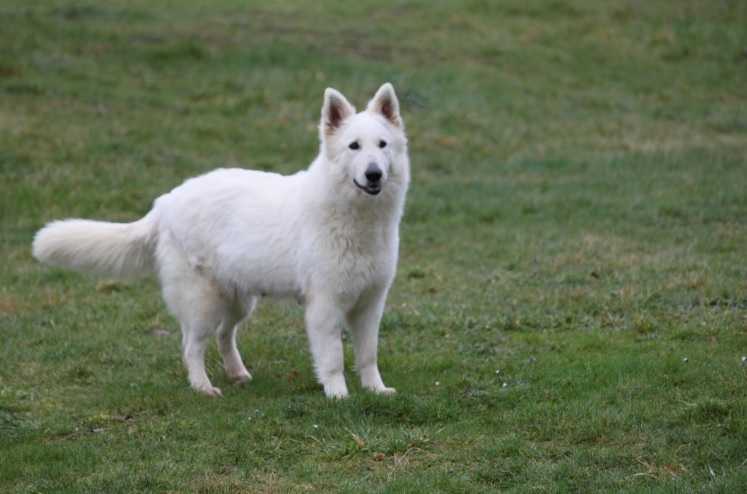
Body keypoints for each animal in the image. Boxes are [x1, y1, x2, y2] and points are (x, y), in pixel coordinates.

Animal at [33, 83, 410, 400]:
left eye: (382, 145)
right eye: (353, 146)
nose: (374, 174)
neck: (356, 219)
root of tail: (165, 202)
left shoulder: (370, 304)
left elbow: (368, 354)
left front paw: (376, 390)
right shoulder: (325, 305)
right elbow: (333, 358)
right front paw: (338, 395)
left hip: (238, 300)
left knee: (224, 335)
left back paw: (237, 373)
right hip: (203, 303)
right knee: (191, 346)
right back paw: (203, 387)